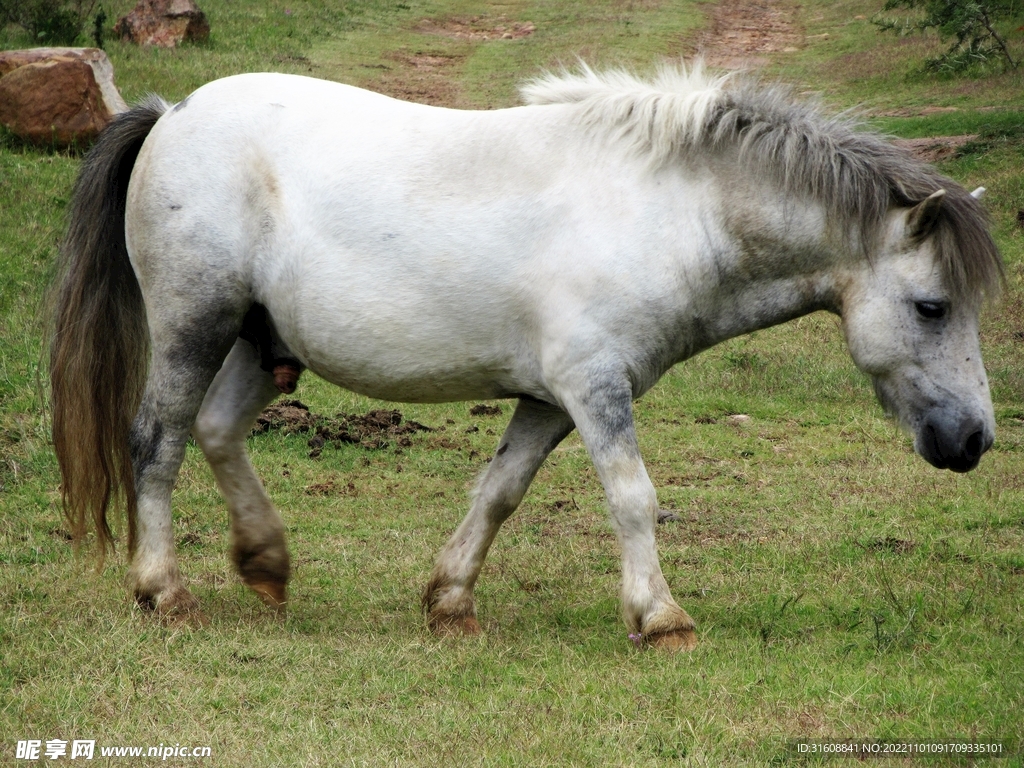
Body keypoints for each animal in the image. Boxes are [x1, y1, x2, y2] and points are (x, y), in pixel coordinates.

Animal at [49, 63, 999, 651]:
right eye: (932, 307)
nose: (975, 441)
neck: (666, 210)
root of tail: (172, 115)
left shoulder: (551, 399)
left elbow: (500, 492)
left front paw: (450, 602)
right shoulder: (595, 388)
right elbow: (632, 497)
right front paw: (661, 619)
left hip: (262, 341)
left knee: (214, 433)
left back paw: (266, 564)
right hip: (194, 325)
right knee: (157, 443)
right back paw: (164, 591)